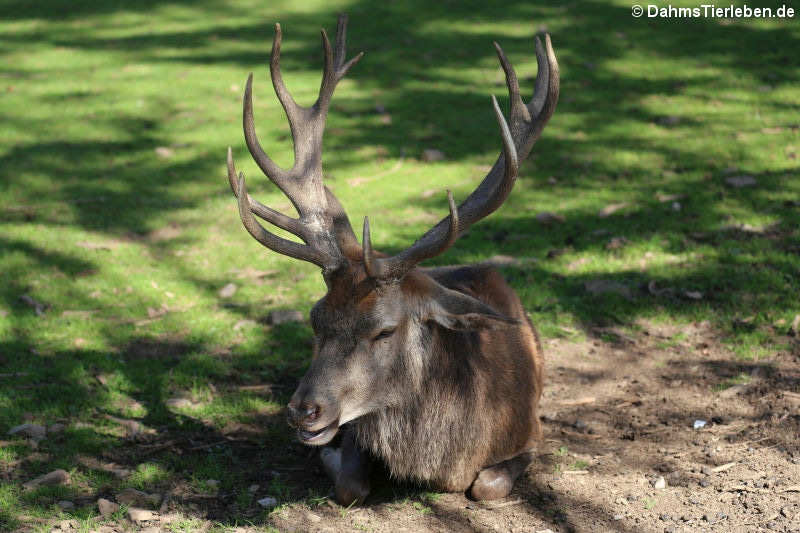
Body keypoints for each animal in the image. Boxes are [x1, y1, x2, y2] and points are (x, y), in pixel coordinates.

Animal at [225, 12, 560, 502]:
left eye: (384, 330)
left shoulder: (532, 432)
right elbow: (350, 485)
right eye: (315, 320)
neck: (442, 464)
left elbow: (488, 485)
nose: (304, 411)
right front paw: (331, 458)